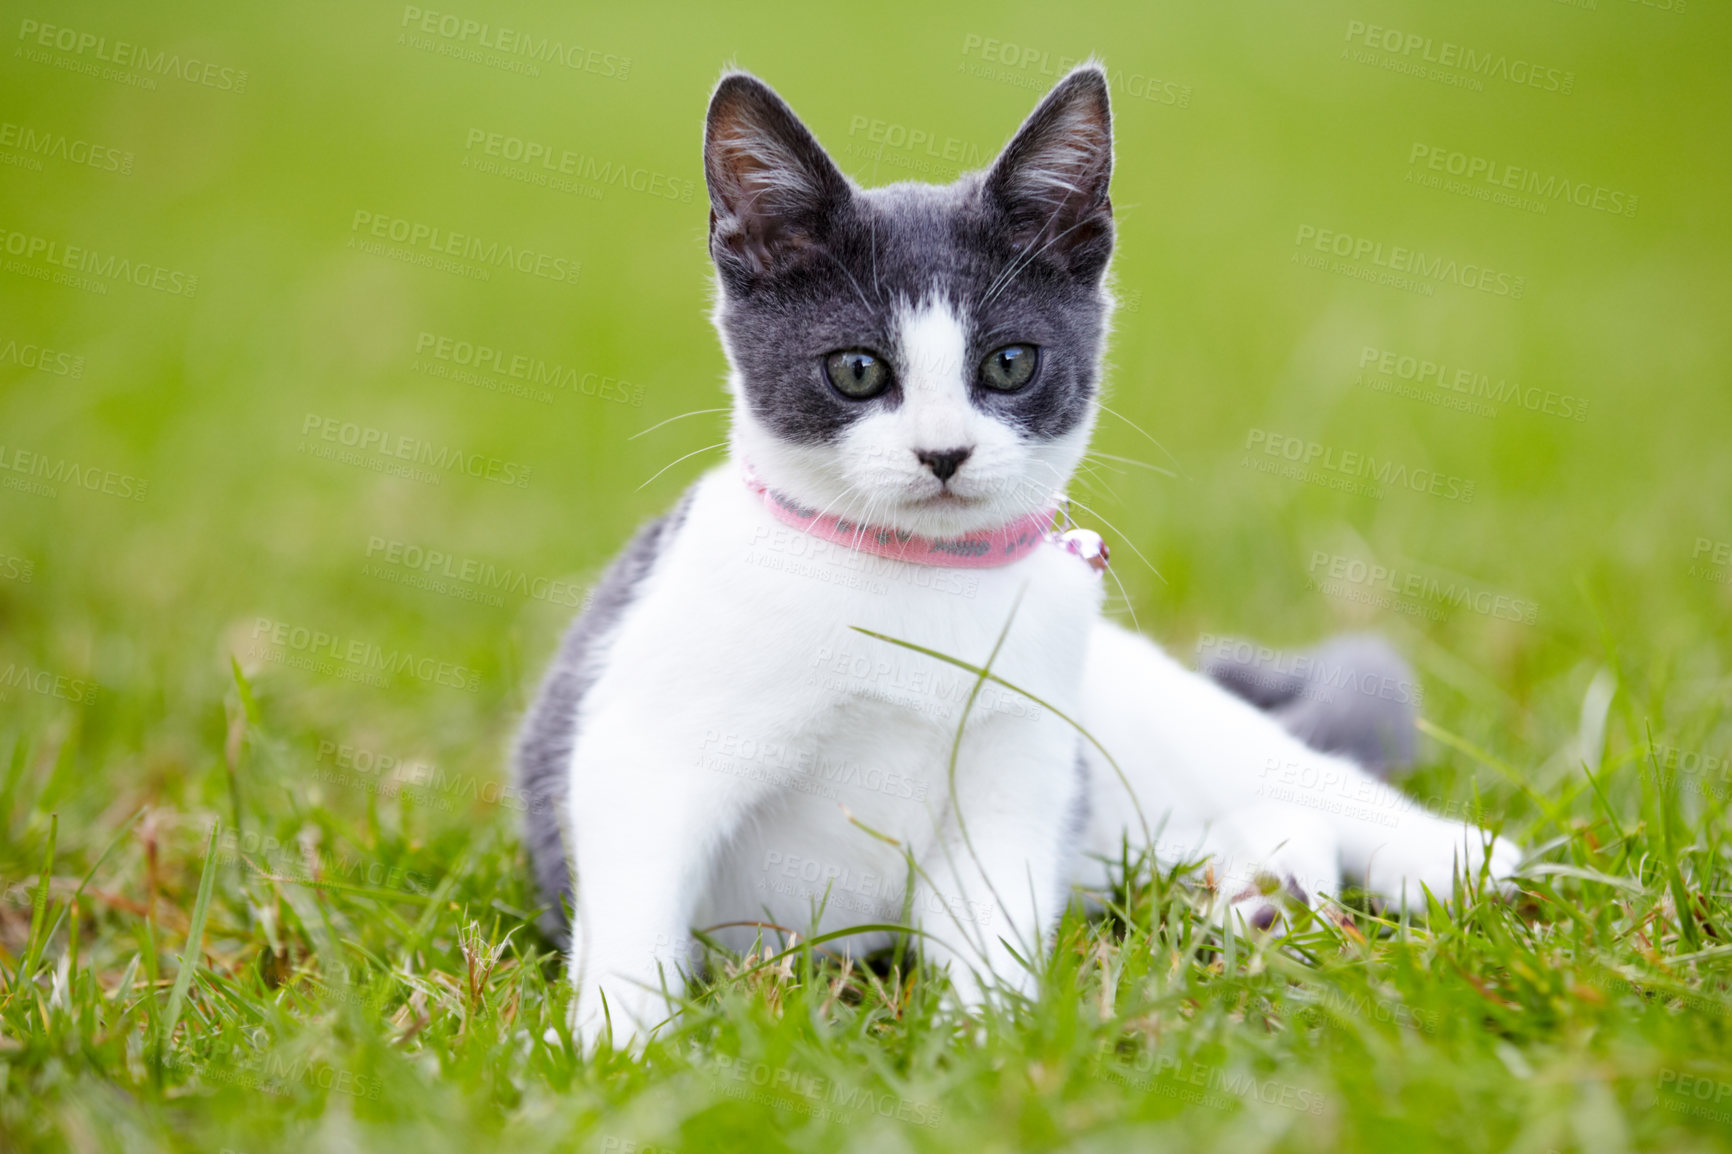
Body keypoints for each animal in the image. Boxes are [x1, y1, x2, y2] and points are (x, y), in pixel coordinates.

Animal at [512, 64, 1517, 1053]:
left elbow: (993, 919)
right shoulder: (645, 749)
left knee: (1300, 775)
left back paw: (1439, 861)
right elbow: (636, 907)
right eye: (856, 371)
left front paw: (990, 1047)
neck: (911, 584)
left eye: (1007, 364)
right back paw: (1258, 896)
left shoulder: (1015, 773)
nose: (944, 453)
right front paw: (622, 1048)